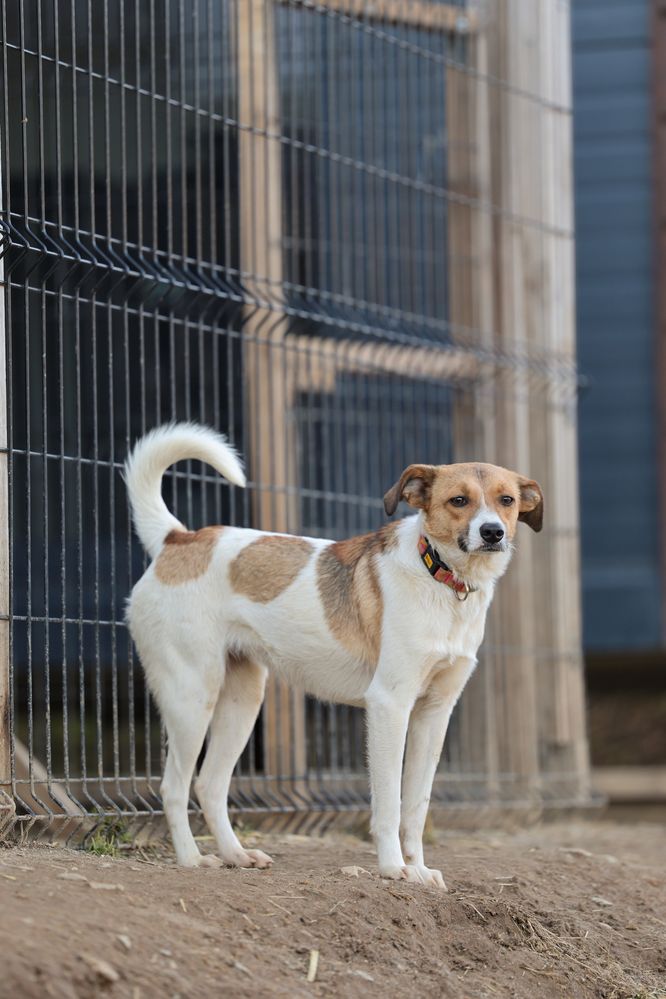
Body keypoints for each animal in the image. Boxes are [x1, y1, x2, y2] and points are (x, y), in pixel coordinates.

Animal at [124, 422, 540, 892]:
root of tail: (180, 538)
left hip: (243, 699)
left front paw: (417, 868)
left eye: (506, 501)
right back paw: (193, 859)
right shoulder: (389, 705)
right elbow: (390, 803)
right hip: (192, 696)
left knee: (210, 784)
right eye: (459, 501)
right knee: (174, 786)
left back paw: (236, 855)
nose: (493, 533)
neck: (440, 577)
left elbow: (416, 805)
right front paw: (394, 867)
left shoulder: (435, 714)